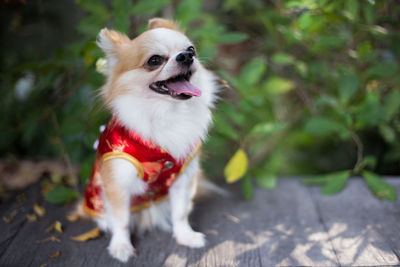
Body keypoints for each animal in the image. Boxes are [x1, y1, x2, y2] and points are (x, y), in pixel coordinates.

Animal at [77, 17, 217, 262]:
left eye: (192, 49)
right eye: (154, 60)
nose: (186, 56)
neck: (166, 114)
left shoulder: (182, 179)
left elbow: (180, 213)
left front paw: (185, 236)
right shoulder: (118, 184)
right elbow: (121, 221)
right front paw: (121, 247)